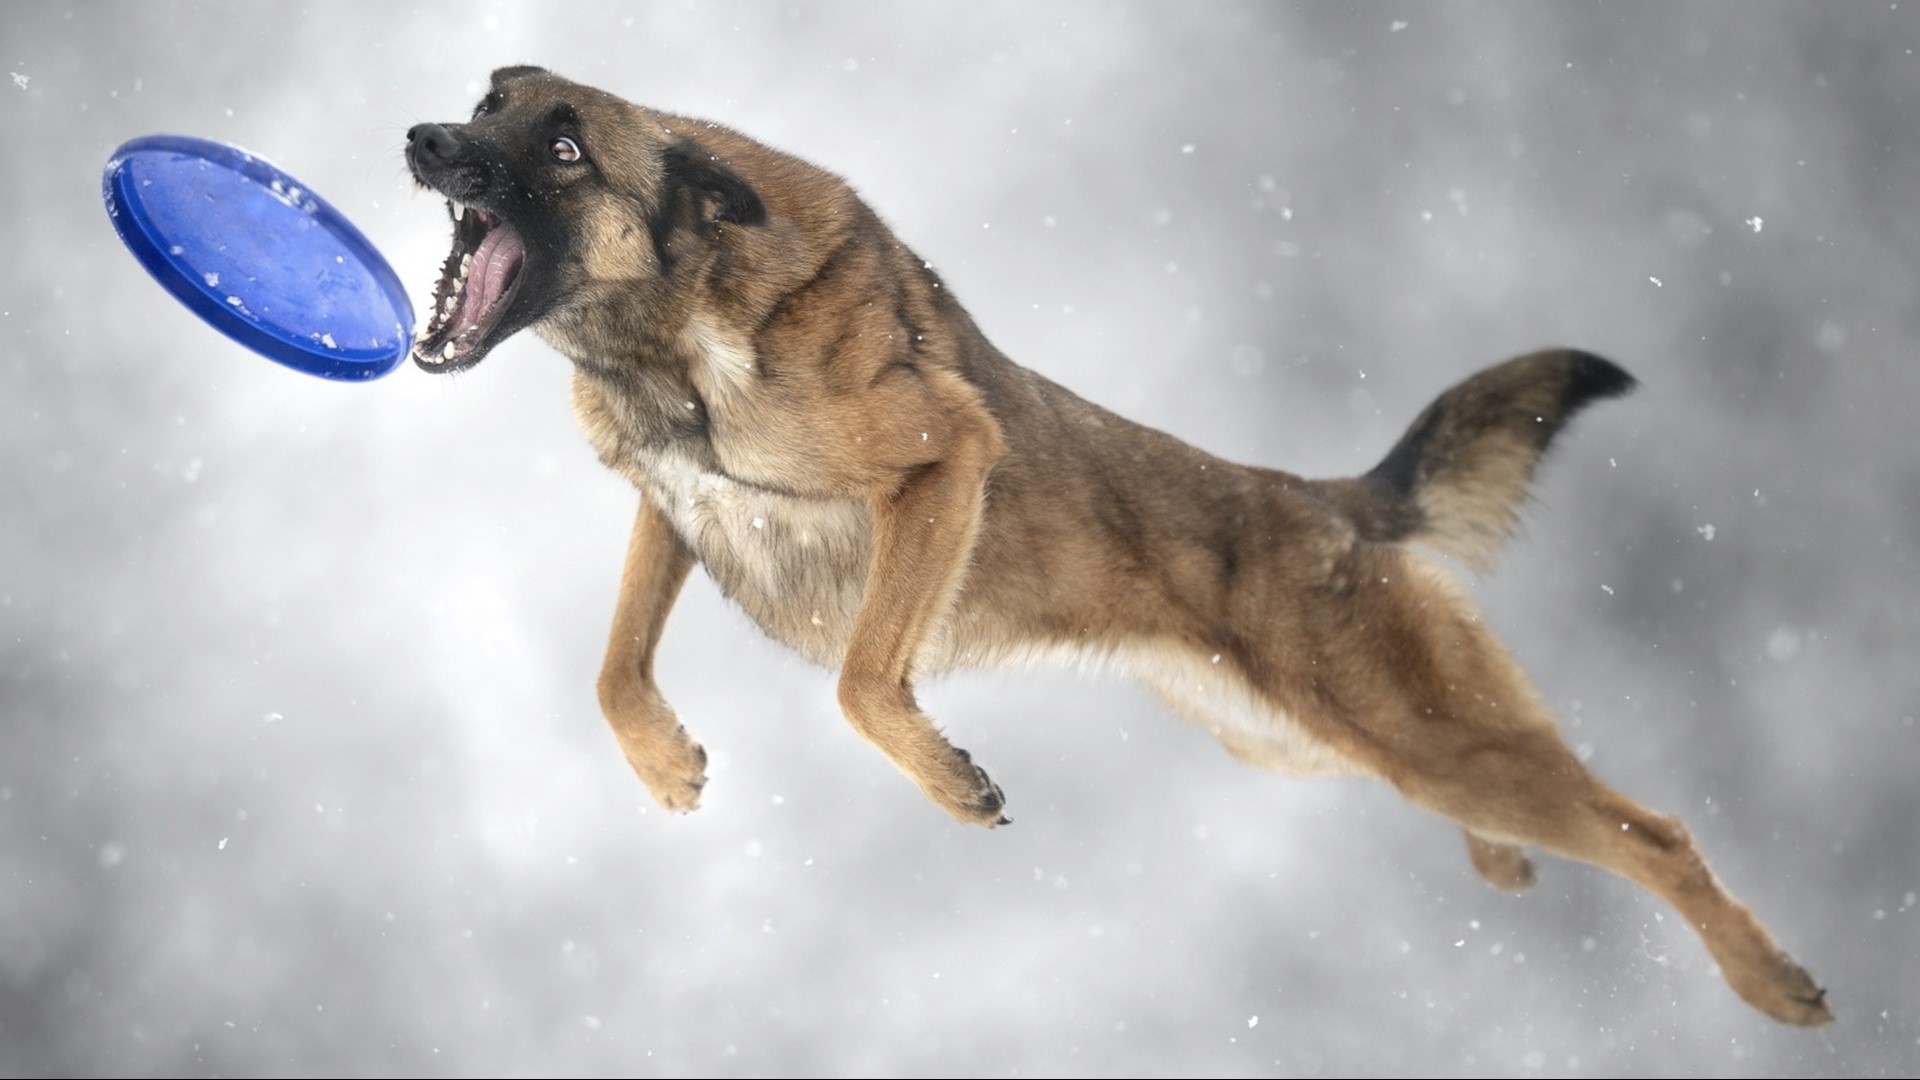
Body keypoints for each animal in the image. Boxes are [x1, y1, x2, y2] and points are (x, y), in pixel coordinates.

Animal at [401, 62, 1827, 1022]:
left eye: (564, 144)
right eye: (485, 100)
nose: (422, 137)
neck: (672, 326)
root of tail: (1326, 499)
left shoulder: (944, 462)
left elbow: (863, 681)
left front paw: (947, 778)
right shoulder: (672, 508)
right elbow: (613, 666)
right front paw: (664, 764)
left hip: (1427, 737)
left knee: (1654, 835)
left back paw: (1770, 980)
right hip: (1318, 746)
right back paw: (1508, 861)